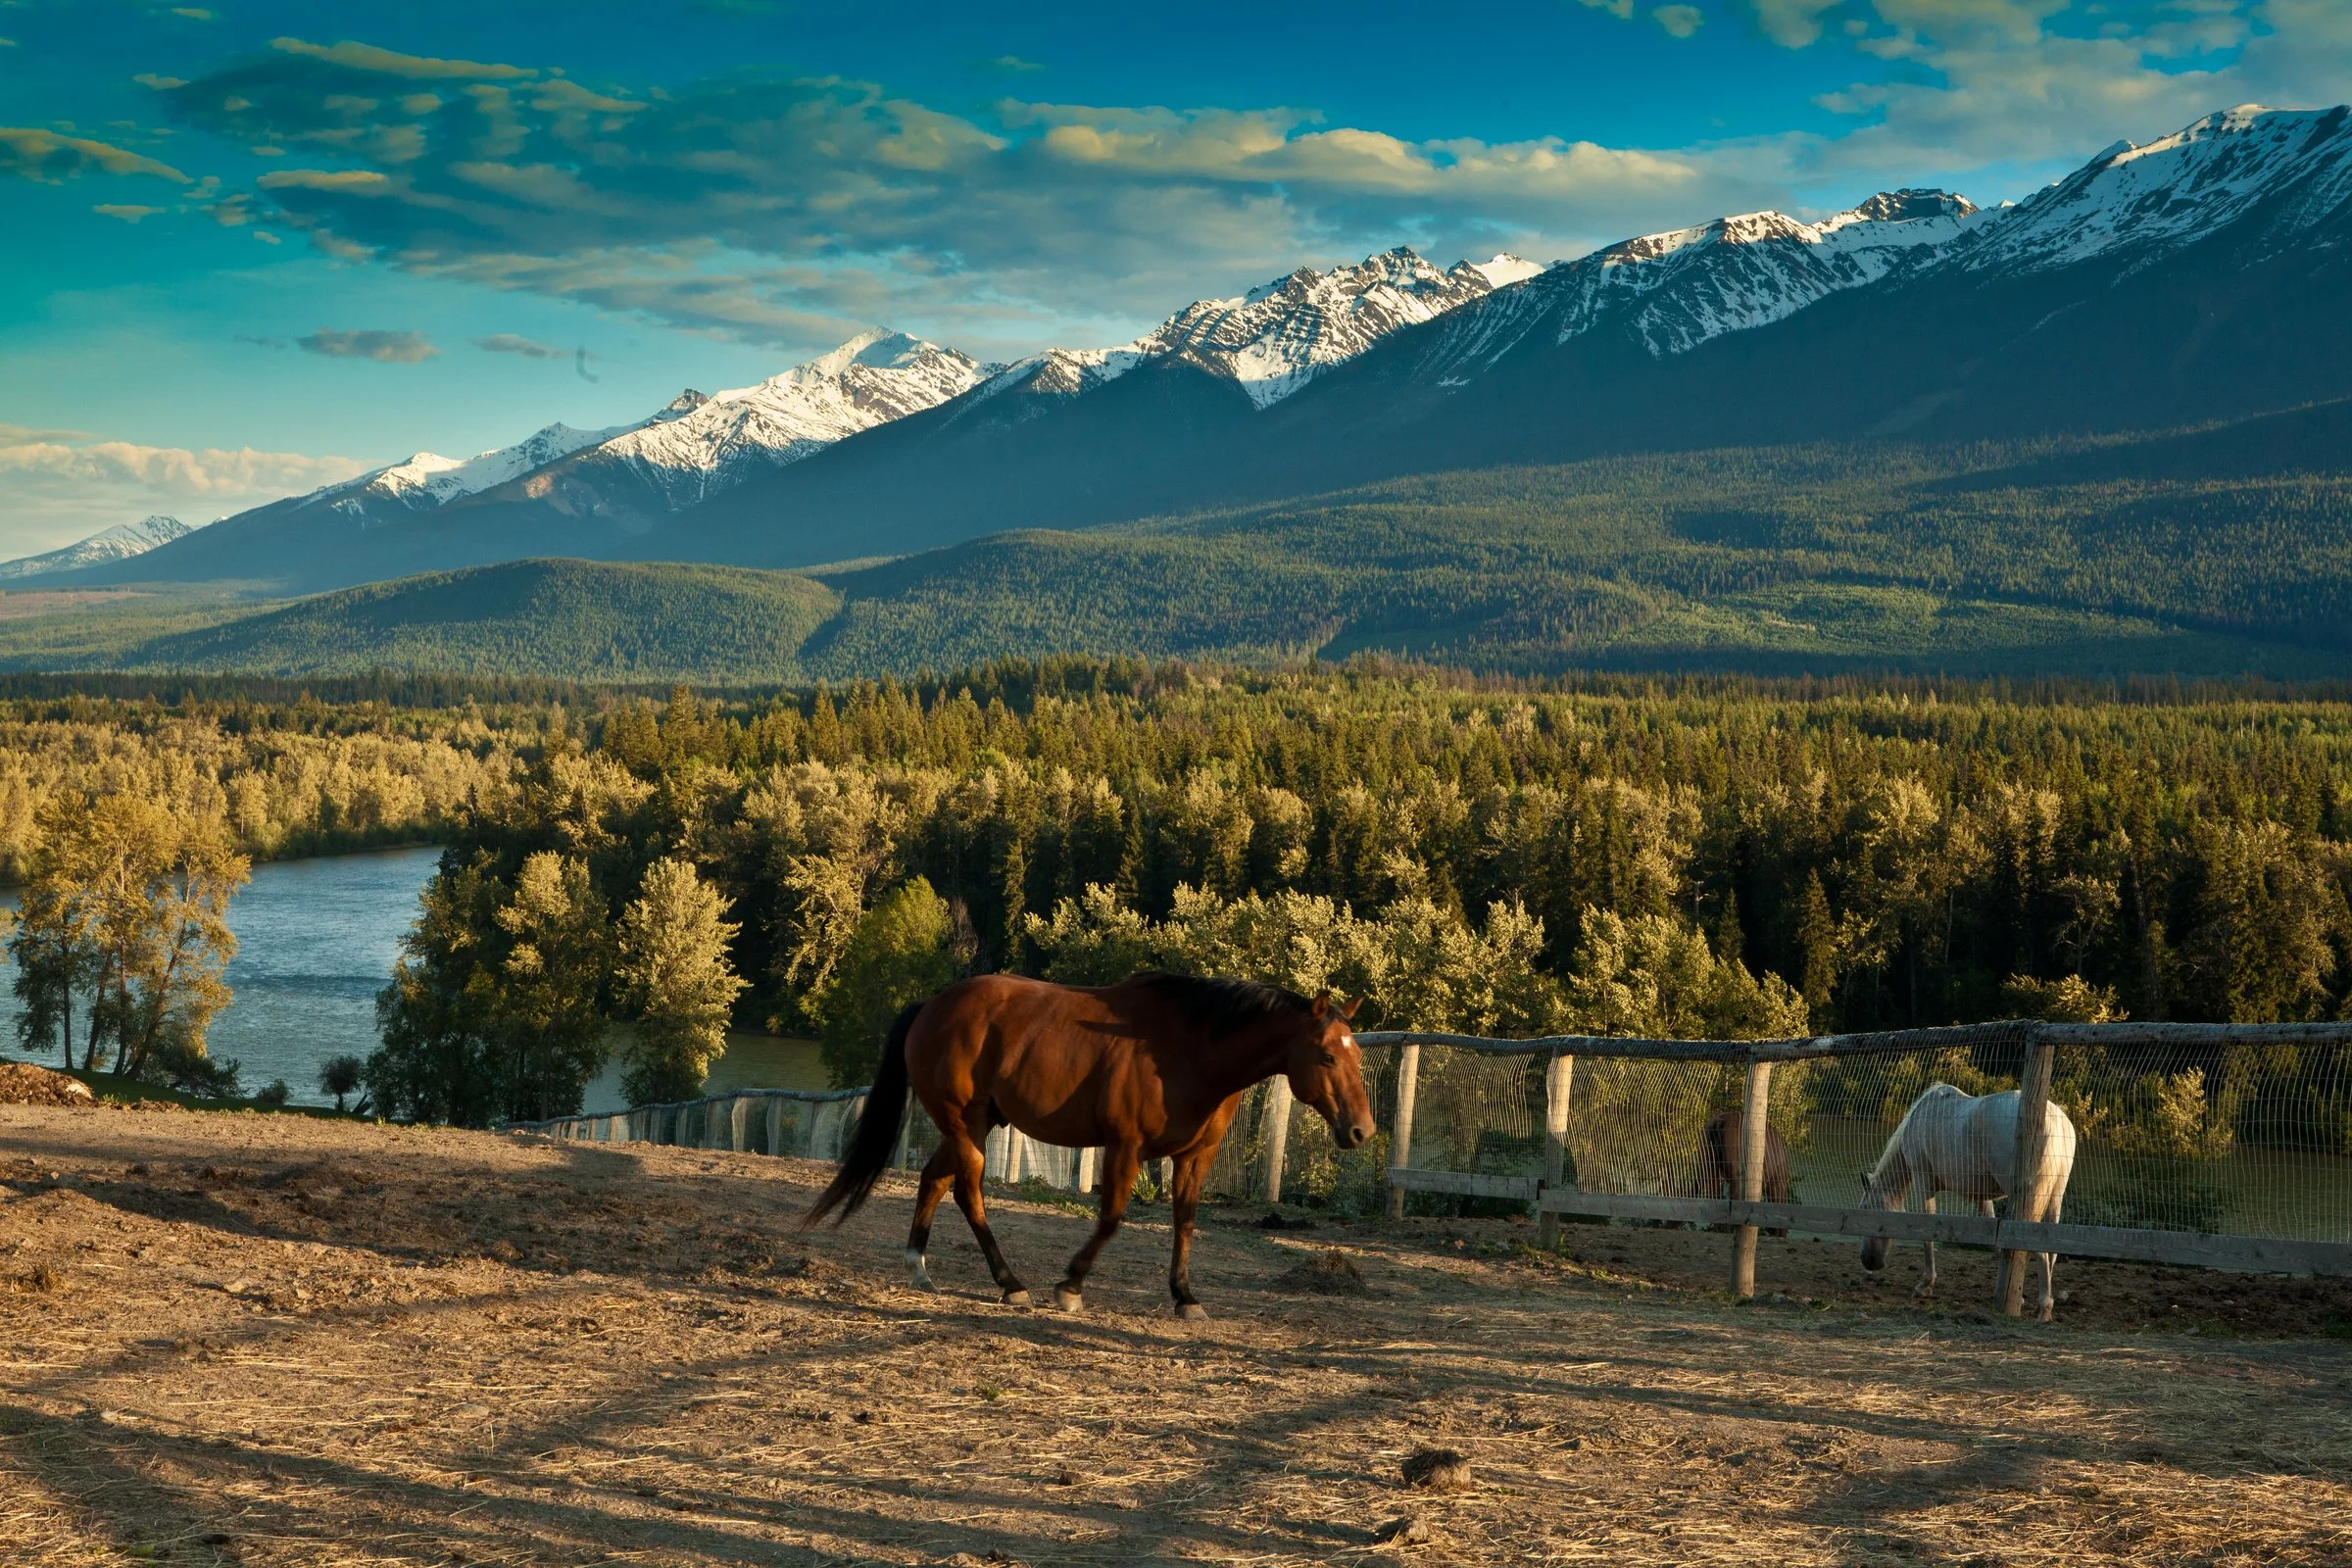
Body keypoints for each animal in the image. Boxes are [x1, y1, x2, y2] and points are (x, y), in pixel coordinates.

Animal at [803, 971, 1375, 1320]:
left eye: (1355, 1054)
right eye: (1327, 1056)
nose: (1362, 1131)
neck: (1190, 1050)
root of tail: (932, 1005)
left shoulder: (1195, 1157)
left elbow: (1186, 1222)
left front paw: (1185, 1297)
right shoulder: (1125, 1147)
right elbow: (1112, 1218)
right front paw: (1070, 1285)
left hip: (974, 1126)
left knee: (936, 1180)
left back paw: (919, 1266)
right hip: (965, 1125)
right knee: (968, 1190)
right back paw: (1010, 1282)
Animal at [1858, 1082, 2078, 1321]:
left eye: (1865, 1210)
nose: (1868, 1261)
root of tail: (2055, 1120)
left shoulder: (1923, 1181)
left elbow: (1928, 1232)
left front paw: (1924, 1285)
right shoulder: (1981, 1196)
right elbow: (1994, 1243)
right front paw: (2017, 1297)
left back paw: (2044, 1308)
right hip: (2054, 1197)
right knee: (2051, 1249)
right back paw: (2041, 1305)